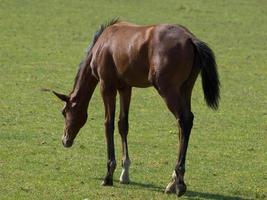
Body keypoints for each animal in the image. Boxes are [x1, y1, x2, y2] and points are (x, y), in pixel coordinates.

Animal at [51, 18, 220, 197]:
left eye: (64, 112)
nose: (65, 140)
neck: (103, 43)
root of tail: (190, 38)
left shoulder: (107, 86)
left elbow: (108, 124)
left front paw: (109, 174)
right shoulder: (125, 87)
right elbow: (123, 124)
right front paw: (124, 173)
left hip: (168, 90)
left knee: (184, 121)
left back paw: (179, 183)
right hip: (185, 89)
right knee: (184, 125)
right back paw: (173, 181)